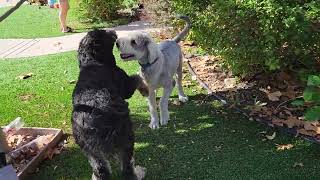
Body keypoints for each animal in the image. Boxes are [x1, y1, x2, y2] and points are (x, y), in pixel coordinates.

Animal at [72, 29, 147, 180]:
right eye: (101, 32)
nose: (112, 31)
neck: (92, 63)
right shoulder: (126, 86)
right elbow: (136, 77)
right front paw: (144, 88)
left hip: (89, 148)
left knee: (101, 169)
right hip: (125, 136)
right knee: (126, 167)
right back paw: (138, 173)